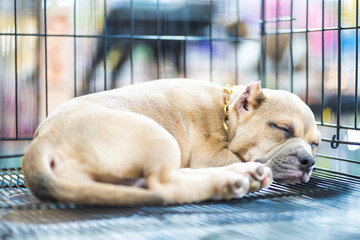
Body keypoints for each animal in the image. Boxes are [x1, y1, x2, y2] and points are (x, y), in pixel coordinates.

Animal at [22, 79, 320, 204]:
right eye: (281, 128)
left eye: (315, 144)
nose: (309, 161)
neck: (225, 110)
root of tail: (42, 140)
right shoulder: (210, 154)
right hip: (159, 137)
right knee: (165, 186)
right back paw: (229, 182)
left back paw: (240, 175)